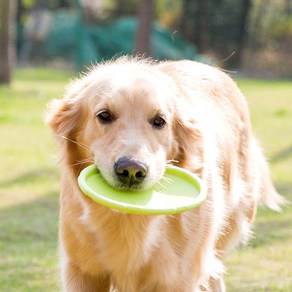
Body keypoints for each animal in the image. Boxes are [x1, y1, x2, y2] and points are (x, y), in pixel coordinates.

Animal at [46, 56, 286, 290]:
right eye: (104, 115)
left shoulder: (179, 276)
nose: (131, 170)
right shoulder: (82, 272)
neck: (129, 218)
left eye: (159, 121)